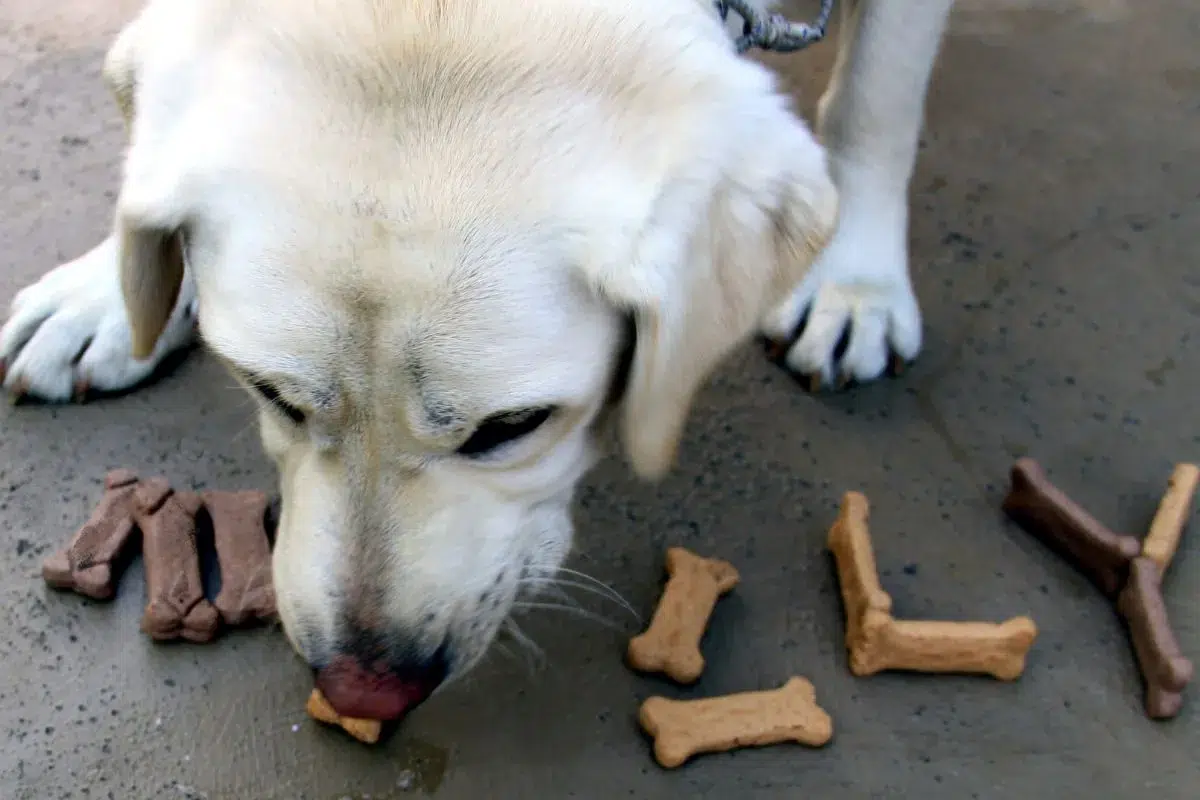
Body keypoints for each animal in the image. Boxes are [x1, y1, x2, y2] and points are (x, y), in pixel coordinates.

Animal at [0, 0, 955, 724]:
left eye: (513, 427)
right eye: (271, 393)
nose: (365, 689)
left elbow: (878, 98)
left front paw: (856, 276)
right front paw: (106, 293)